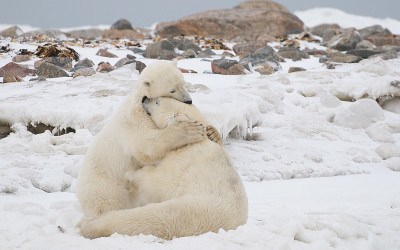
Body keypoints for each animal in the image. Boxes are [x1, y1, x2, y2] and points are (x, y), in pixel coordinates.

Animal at [78, 96, 248, 239]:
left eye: (157, 101)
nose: (145, 98)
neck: (197, 143)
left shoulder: (183, 161)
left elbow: (159, 180)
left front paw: (131, 176)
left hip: (191, 210)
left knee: (150, 218)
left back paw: (89, 225)